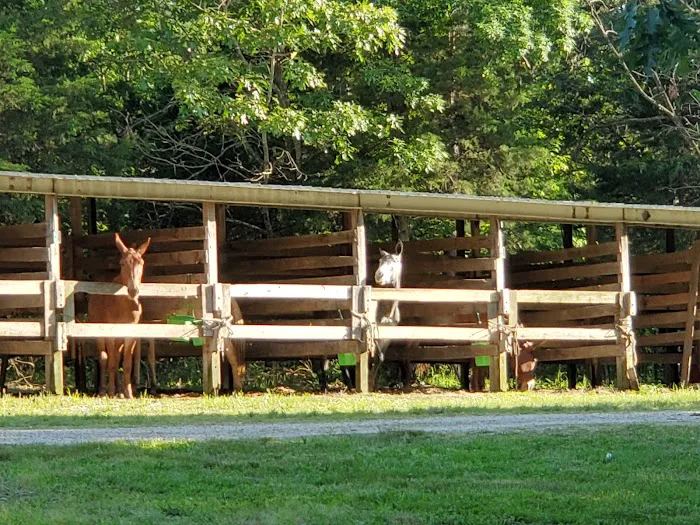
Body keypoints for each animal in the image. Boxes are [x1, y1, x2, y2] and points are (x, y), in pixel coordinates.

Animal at [87, 233, 151, 398]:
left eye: (141, 263)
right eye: (122, 263)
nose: (133, 290)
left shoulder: (130, 334)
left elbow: (126, 364)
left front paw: (127, 392)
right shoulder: (110, 333)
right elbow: (111, 362)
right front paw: (110, 391)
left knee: (116, 356)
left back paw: (119, 390)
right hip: (98, 333)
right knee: (104, 358)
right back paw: (104, 390)